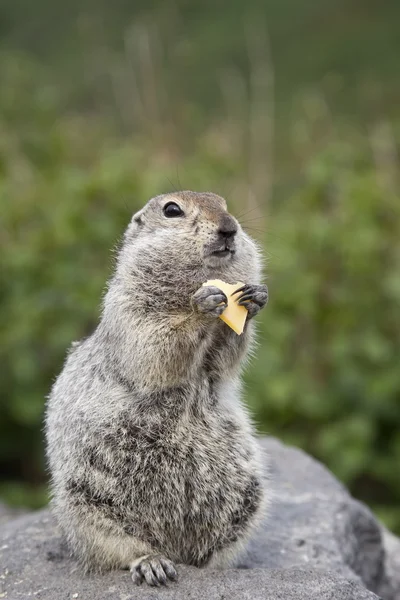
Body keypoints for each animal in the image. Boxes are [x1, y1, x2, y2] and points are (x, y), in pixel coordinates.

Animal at [44, 191, 268, 584]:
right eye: (172, 210)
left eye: (225, 203)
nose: (230, 227)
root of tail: (175, 547)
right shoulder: (129, 312)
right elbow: (156, 348)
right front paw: (203, 306)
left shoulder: (215, 357)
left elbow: (225, 359)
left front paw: (255, 298)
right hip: (85, 505)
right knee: (121, 549)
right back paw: (152, 564)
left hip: (247, 498)